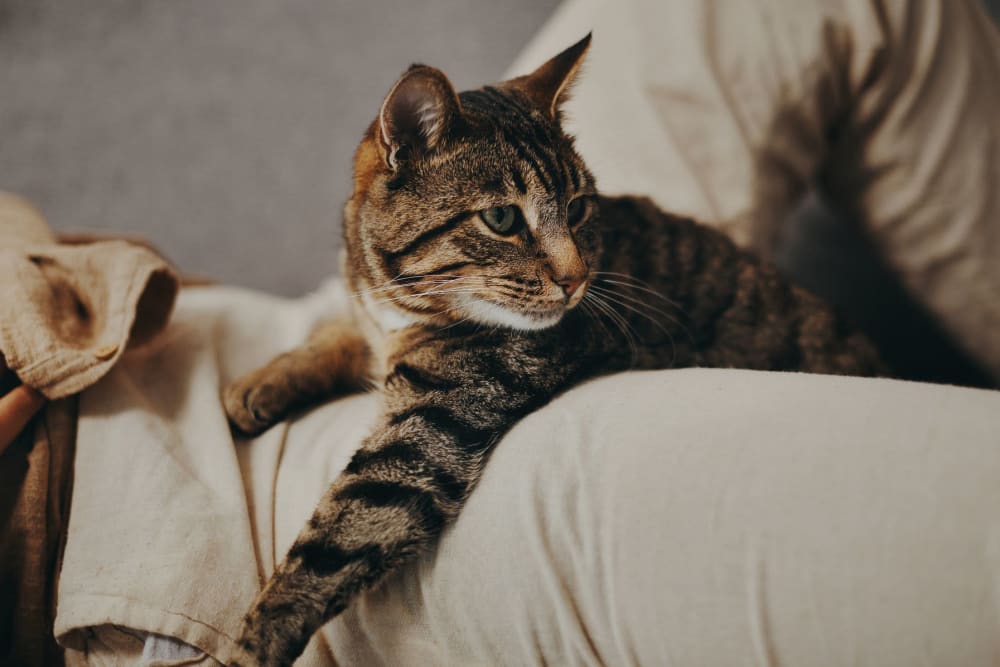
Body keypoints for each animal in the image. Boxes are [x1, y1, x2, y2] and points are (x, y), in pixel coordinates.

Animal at [225, 36, 884, 667]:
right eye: (501, 218)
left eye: (577, 208)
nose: (577, 279)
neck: (405, 306)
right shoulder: (372, 320)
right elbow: (337, 334)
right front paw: (259, 384)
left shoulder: (431, 427)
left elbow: (335, 539)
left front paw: (250, 645)